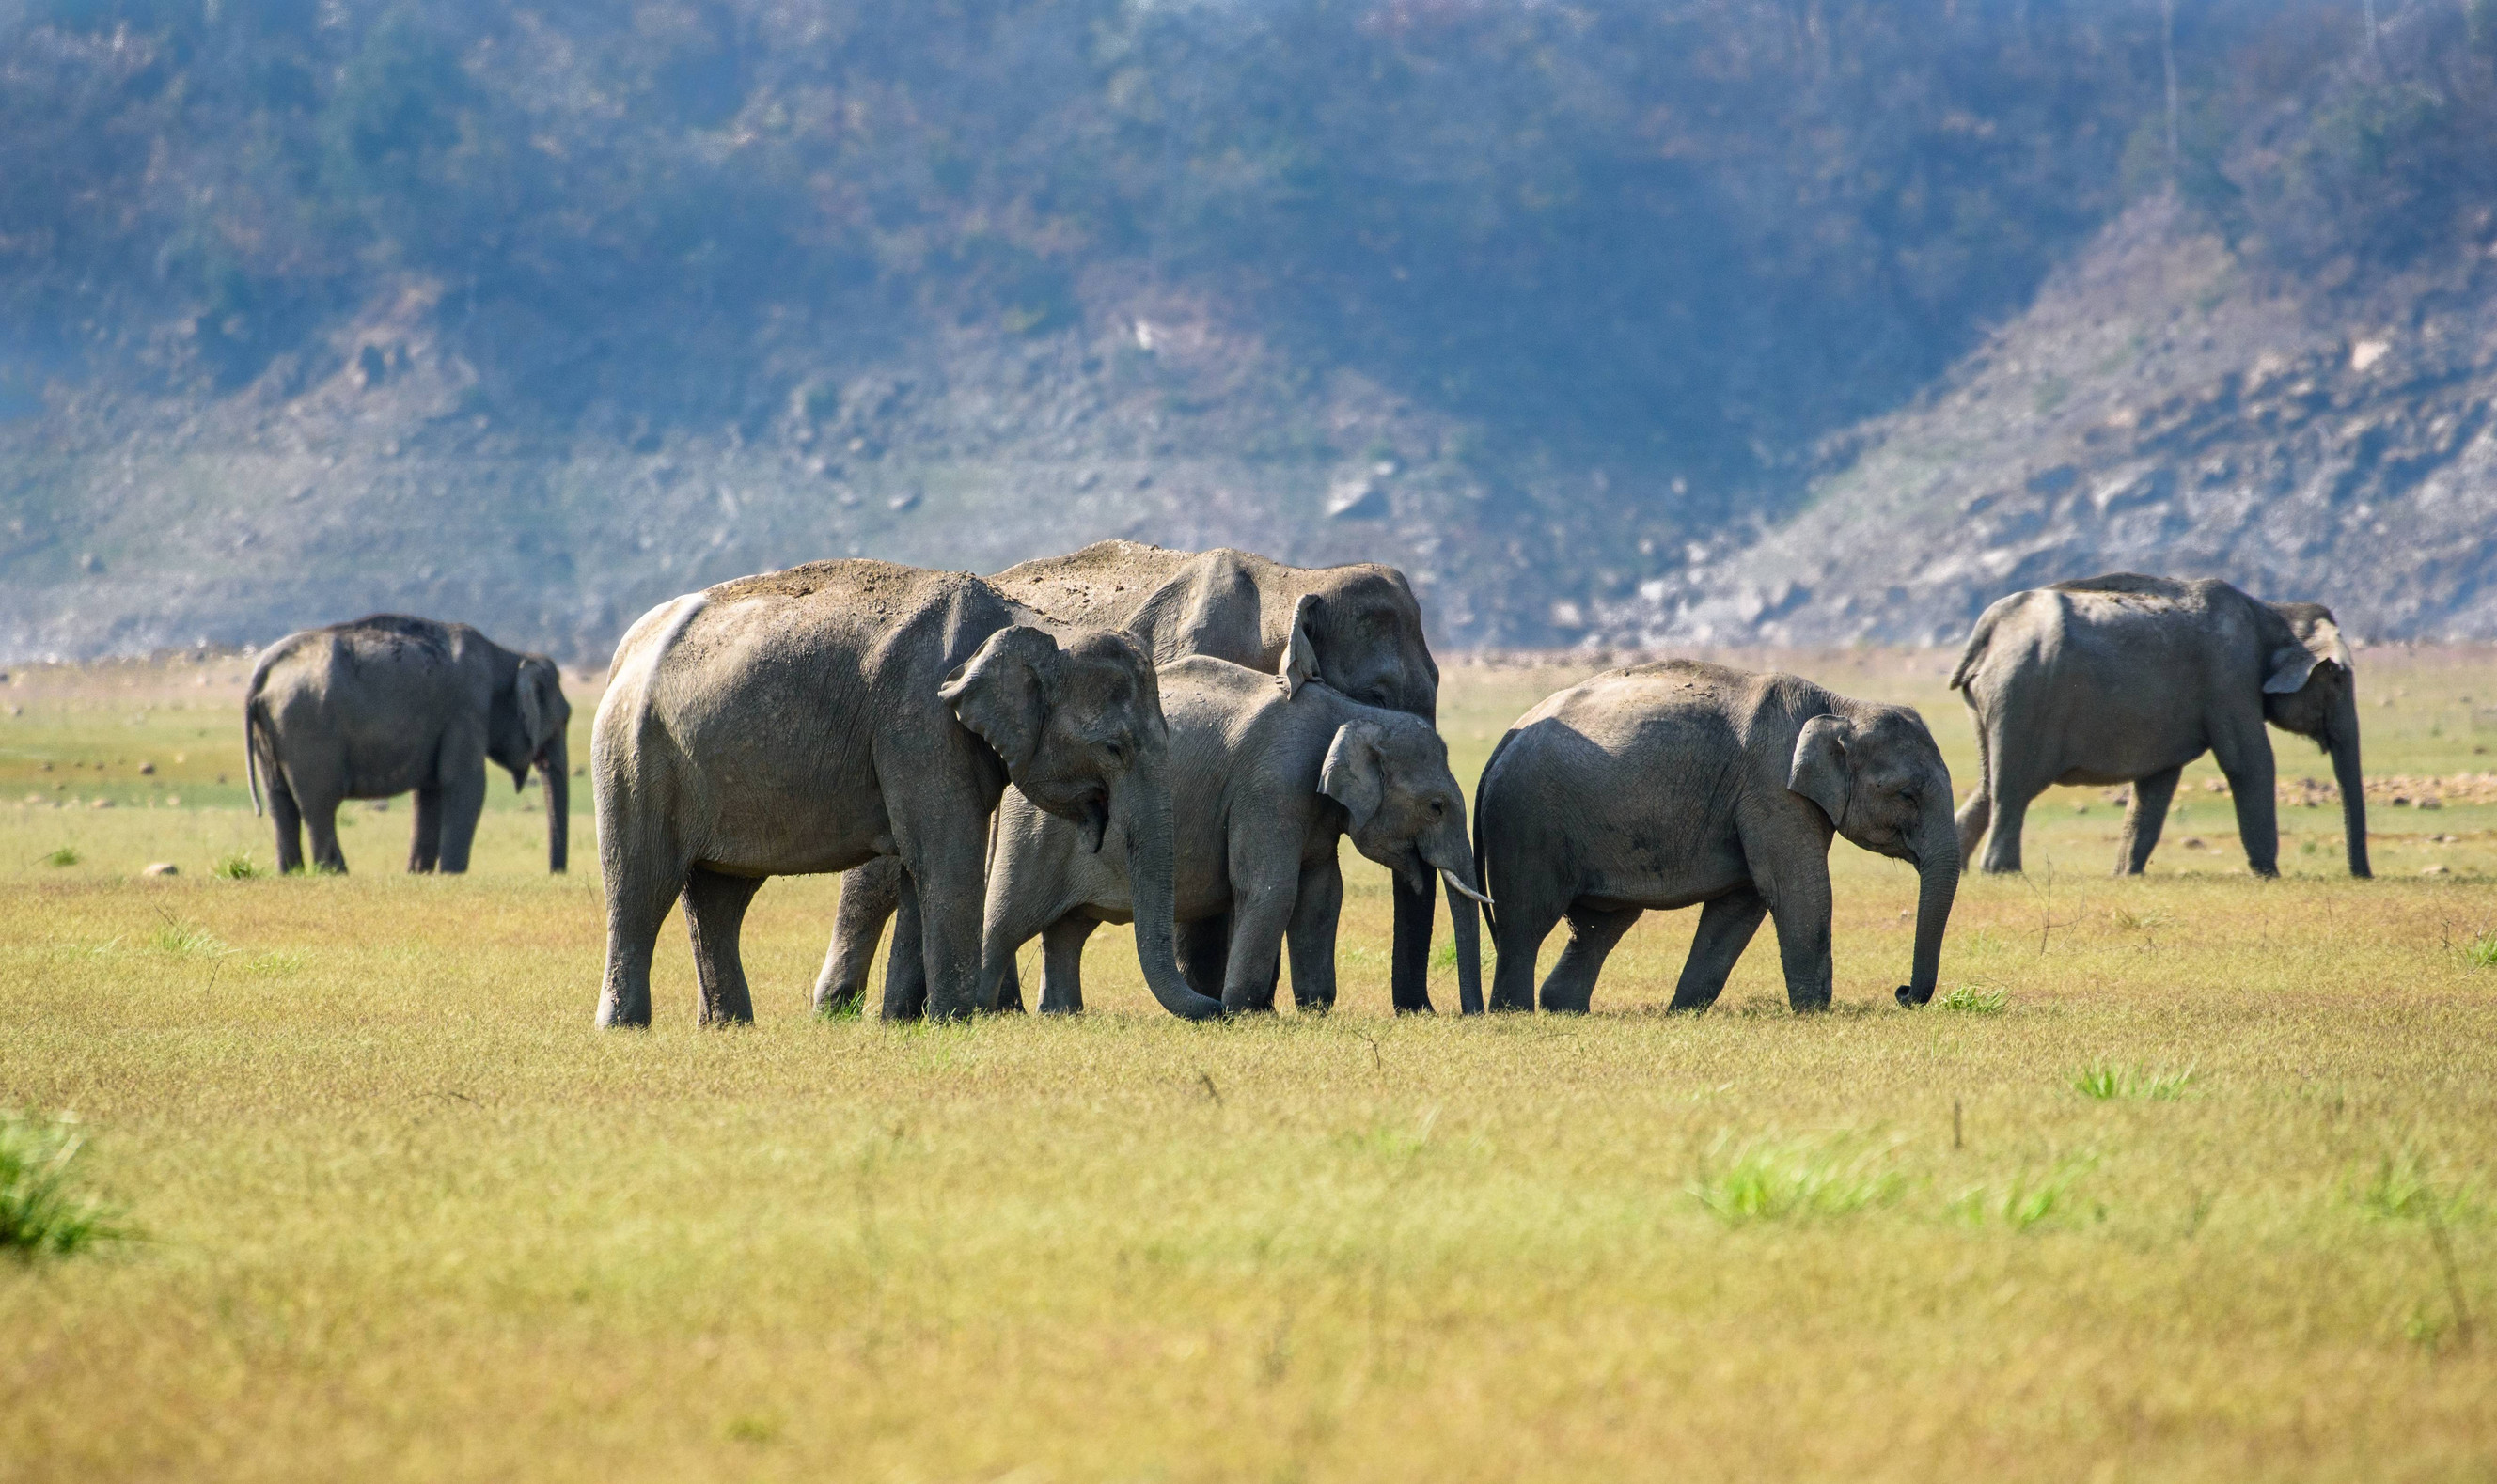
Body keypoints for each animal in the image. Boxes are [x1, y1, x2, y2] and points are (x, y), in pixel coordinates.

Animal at [244, 615, 571, 875]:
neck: (508, 655)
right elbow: (467, 786)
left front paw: (418, 873)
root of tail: (263, 669)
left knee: (279, 802)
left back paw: (291, 873)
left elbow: (430, 792)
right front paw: (451, 874)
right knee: (318, 804)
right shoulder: (466, 711)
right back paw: (336, 873)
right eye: (564, 719)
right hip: (308, 730)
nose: (554, 873)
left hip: (271, 732)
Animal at [590, 559, 1222, 1027]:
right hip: (635, 754)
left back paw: (728, 1027)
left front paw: (903, 1022)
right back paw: (625, 1027)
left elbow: (920, 869)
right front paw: (957, 1022)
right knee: (641, 884)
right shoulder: (920, 723)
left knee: (720, 894)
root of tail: (623, 653)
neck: (1036, 622)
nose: (1221, 1007)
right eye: (1114, 748)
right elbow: (947, 856)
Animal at [977, 652, 1488, 1017]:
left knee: (1069, 929)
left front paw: (1315, 1010)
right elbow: (1270, 888)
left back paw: (1061, 1015)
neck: (1351, 710)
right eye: (1436, 807)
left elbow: (1322, 893)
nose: (1472, 1015)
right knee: (1008, 920)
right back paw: (982, 1010)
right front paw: (1243, 1011)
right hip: (1035, 829)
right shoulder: (1272, 786)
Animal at [1473, 660, 1960, 1014]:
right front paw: (1813, 1014)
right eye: (1907, 795)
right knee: (1526, 922)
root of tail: (1501, 743)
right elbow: (1796, 889)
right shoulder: (1772, 789)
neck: (1840, 706)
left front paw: (1682, 1014)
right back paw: (1514, 1014)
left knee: (1599, 925)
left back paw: (1564, 1011)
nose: (1901, 992)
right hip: (1528, 821)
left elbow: (1742, 902)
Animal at [1949, 574, 2368, 879]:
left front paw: (2125, 875)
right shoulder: (2229, 677)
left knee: (1990, 784)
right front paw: (2269, 875)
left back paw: (1965, 868)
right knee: (2013, 786)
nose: (2362, 876)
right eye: (2336, 679)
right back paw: (2002, 872)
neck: (2274, 612)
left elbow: (2157, 782)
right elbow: (2249, 763)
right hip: (2024, 695)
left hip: (1995, 700)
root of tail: (1987, 631)